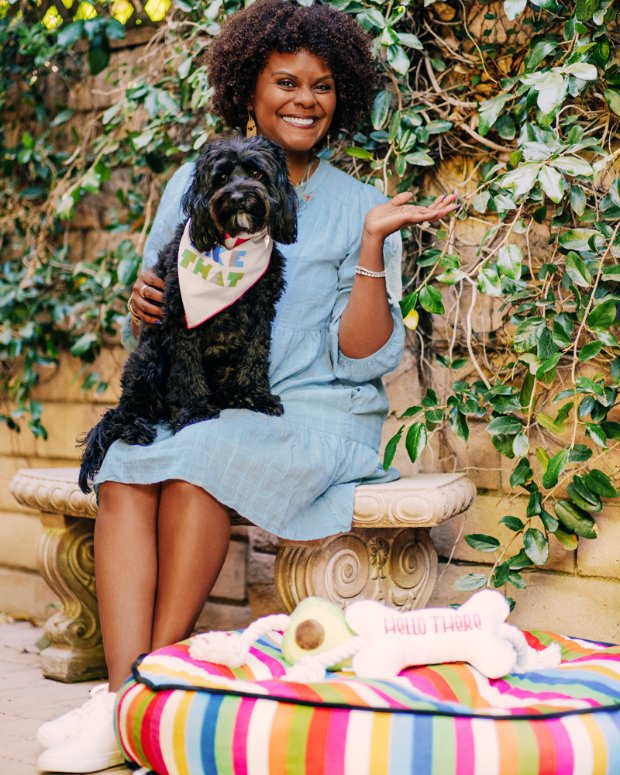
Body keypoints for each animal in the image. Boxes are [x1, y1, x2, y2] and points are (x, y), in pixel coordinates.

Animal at [78, 136, 298, 494]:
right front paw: (193, 411)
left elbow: (254, 357)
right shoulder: (181, 319)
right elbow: (186, 368)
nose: (239, 196)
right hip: (149, 359)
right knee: (122, 412)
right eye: (221, 177)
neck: (232, 249)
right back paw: (138, 427)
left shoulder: (260, 314)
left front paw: (255, 397)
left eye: (256, 173)